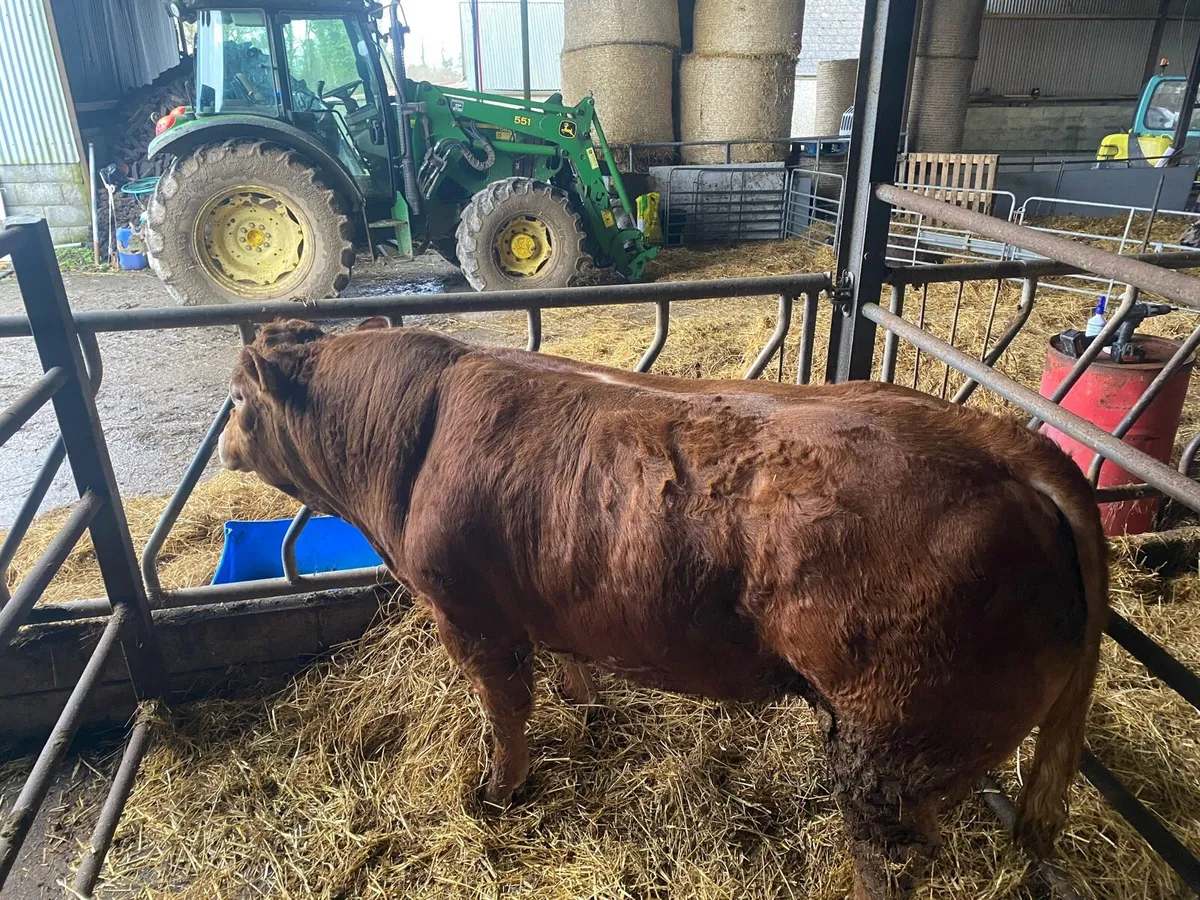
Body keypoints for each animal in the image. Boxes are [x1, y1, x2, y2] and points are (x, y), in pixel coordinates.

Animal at [218, 318, 1108, 899]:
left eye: (236, 400)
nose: (224, 446)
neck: (409, 437)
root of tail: (1010, 447)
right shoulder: (548, 595)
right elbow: (569, 667)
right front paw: (587, 710)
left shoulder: (467, 614)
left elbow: (505, 712)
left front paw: (499, 791)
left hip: (899, 740)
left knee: (884, 855)